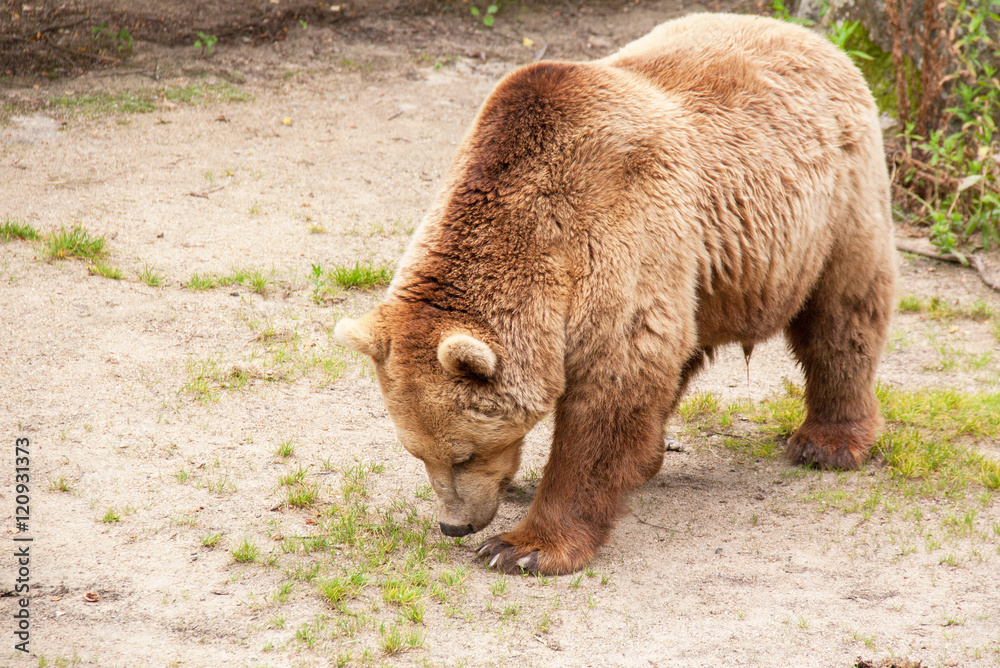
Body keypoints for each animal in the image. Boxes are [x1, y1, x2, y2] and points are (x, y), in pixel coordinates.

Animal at [336, 11, 900, 576]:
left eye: (464, 454)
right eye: (416, 452)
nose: (454, 525)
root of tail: (811, 36)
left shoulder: (616, 228)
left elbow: (613, 383)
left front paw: (521, 547)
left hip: (835, 204)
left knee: (843, 313)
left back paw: (828, 443)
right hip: (709, 270)